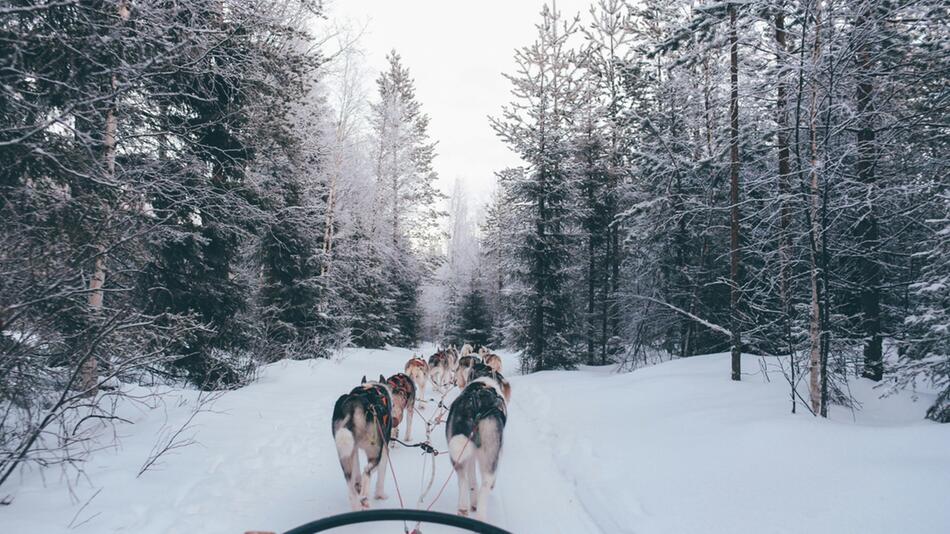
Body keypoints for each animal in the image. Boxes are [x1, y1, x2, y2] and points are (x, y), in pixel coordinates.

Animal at [334, 376, 394, 510]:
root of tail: (354, 404)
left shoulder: (354, 449)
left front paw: (358, 484)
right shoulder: (384, 449)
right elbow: (380, 473)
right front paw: (380, 494)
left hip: (345, 456)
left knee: (351, 484)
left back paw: (357, 501)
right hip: (374, 451)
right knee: (367, 471)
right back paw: (364, 496)